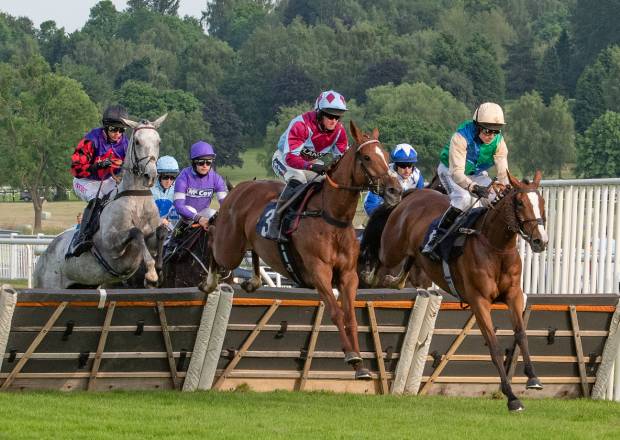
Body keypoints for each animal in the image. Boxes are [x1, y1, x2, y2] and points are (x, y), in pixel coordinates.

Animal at [34, 115, 167, 290]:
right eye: (138, 142)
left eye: (158, 142)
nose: (150, 176)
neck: (137, 200)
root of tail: (42, 256)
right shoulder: (112, 246)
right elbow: (136, 232)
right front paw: (151, 274)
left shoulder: (150, 239)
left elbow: (161, 233)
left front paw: (158, 271)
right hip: (49, 285)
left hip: (84, 285)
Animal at [208, 120, 402, 378]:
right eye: (367, 157)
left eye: (387, 156)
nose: (395, 191)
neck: (332, 217)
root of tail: (240, 188)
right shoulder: (319, 271)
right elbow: (336, 312)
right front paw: (351, 355)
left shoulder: (349, 275)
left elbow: (350, 316)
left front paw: (360, 366)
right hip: (229, 249)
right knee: (212, 241)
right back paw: (209, 280)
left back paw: (254, 280)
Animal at [366, 170, 544, 410]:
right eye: (520, 203)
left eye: (541, 202)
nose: (540, 241)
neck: (496, 247)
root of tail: (414, 195)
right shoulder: (479, 301)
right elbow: (494, 346)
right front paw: (512, 397)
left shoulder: (513, 296)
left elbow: (522, 334)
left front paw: (533, 378)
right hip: (392, 247)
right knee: (379, 253)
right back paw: (370, 273)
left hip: (412, 253)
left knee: (409, 262)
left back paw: (397, 280)